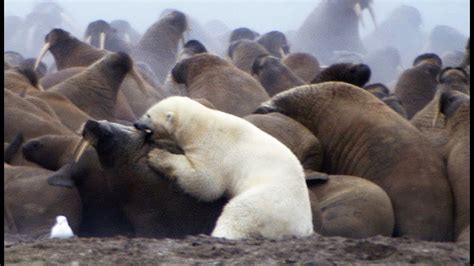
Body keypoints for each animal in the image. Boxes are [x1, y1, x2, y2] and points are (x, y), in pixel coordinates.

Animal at [133, 96, 312, 240]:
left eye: (148, 115)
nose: (136, 123)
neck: (200, 125)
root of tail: (303, 228)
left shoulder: (214, 147)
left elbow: (207, 183)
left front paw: (156, 155)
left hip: (269, 202)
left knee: (239, 212)